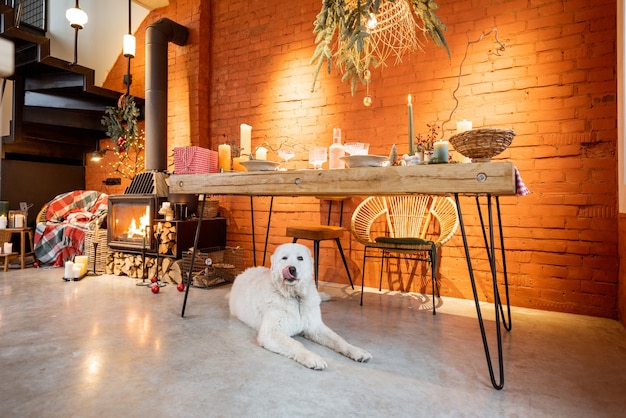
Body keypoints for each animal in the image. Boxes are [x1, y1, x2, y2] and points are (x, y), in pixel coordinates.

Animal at [228, 242, 370, 370]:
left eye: (300, 258)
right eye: (284, 258)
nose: (291, 269)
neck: (295, 297)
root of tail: (243, 273)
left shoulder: (315, 326)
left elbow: (338, 340)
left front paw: (357, 351)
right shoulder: (270, 333)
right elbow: (296, 345)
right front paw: (313, 358)